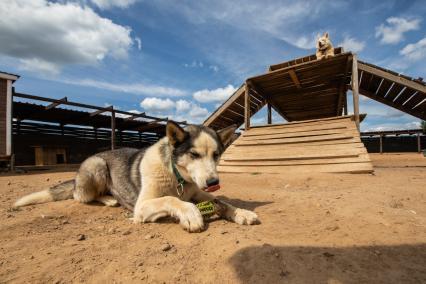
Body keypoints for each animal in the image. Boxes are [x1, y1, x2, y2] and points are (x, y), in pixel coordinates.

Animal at [14, 121, 260, 232]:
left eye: (216, 155)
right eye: (194, 154)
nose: (213, 182)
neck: (176, 177)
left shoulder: (200, 193)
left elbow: (222, 202)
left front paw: (241, 212)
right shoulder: (142, 206)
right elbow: (171, 199)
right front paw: (190, 213)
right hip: (96, 166)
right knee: (81, 196)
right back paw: (108, 198)